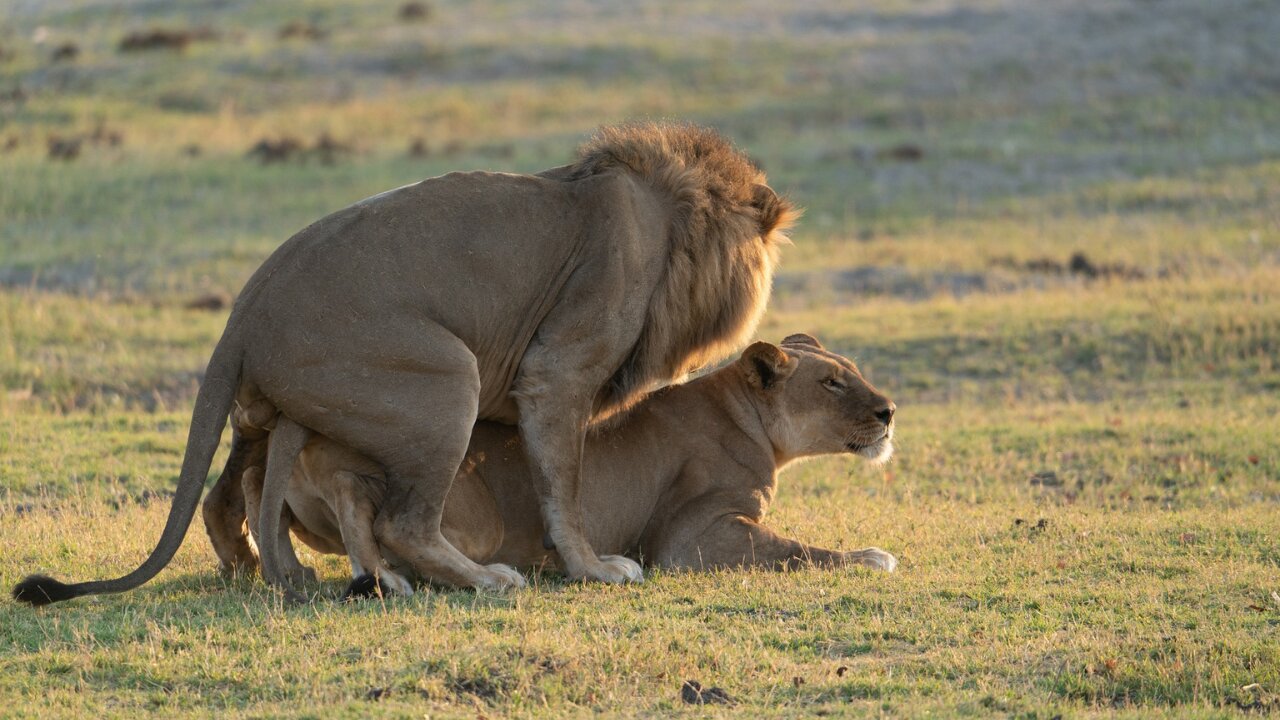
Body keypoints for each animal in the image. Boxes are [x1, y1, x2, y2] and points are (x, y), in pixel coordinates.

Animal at [15, 120, 793, 602]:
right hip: (447, 381)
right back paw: (486, 580)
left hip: (265, 416)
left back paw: (267, 571)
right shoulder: (557, 372)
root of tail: (242, 314)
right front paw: (594, 569)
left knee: (226, 497)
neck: (666, 222)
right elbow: (563, 488)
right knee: (404, 522)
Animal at [244, 330, 896, 594]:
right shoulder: (691, 537)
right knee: (379, 513)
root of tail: (307, 432)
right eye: (832, 383)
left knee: (260, 487)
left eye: (851, 371)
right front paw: (873, 557)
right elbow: (801, 550)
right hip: (475, 516)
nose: (890, 410)